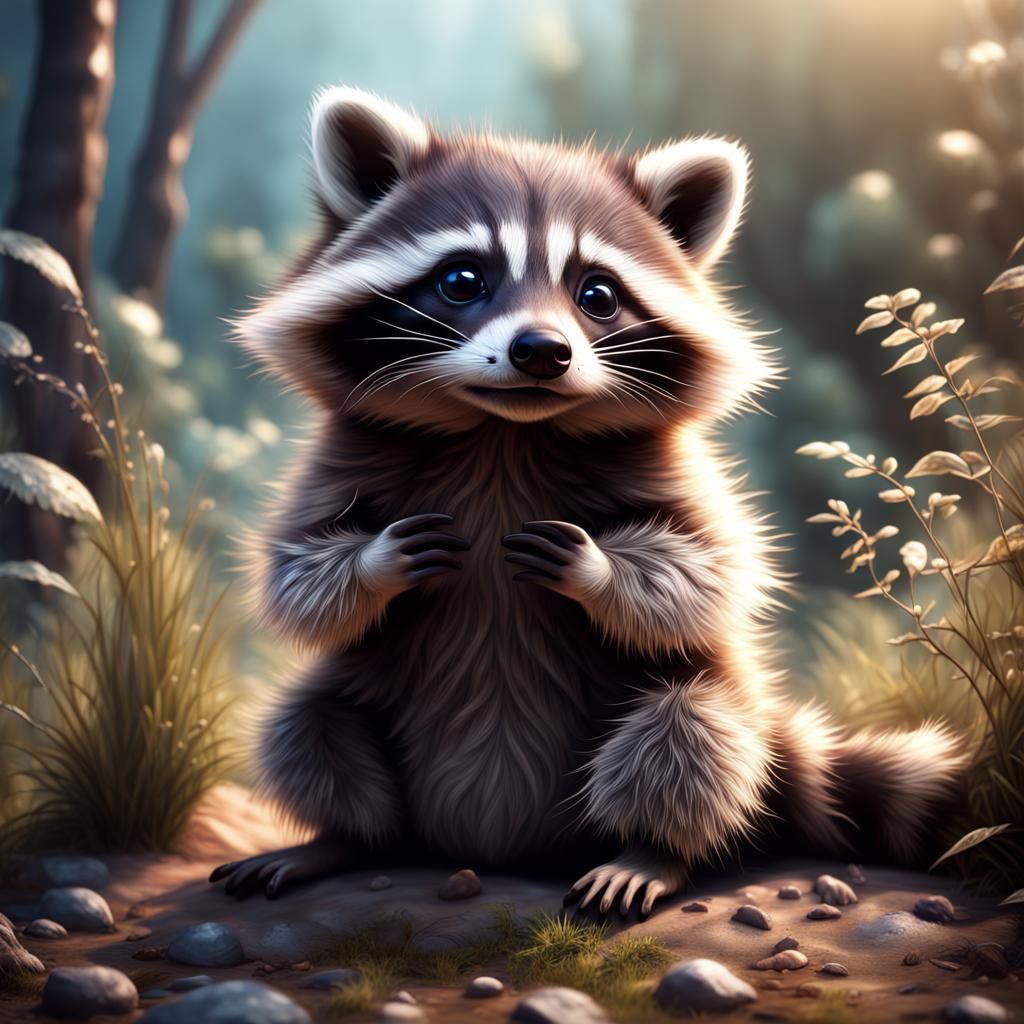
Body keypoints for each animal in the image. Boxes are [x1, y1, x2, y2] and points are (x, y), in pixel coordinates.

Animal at [211, 88, 965, 916]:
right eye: (462, 280)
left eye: (596, 295)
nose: (542, 351)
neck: (505, 430)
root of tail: (490, 848)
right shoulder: (338, 456)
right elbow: (298, 574)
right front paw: (378, 561)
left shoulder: (681, 467)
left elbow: (708, 572)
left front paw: (596, 568)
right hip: (357, 705)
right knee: (306, 723)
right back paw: (342, 838)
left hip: (703, 715)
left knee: (690, 732)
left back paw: (652, 849)